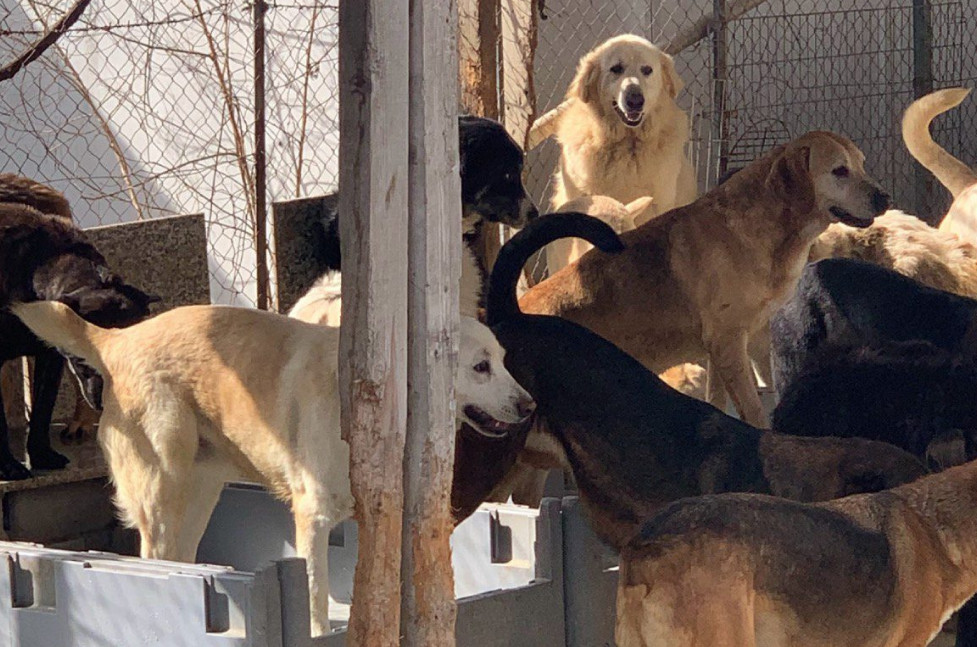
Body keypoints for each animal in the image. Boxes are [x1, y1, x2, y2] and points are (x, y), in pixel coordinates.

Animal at [13, 302, 532, 636]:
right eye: (480, 367)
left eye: (505, 361)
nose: (530, 406)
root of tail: (117, 339)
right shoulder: (313, 517)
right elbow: (316, 591)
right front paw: (322, 629)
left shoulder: (385, 518)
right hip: (163, 491)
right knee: (154, 559)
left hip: (199, 494)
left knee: (181, 557)